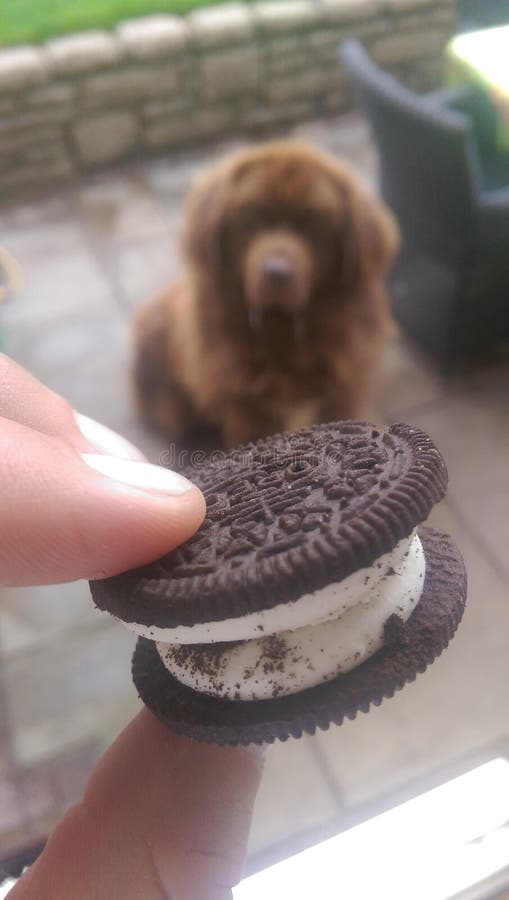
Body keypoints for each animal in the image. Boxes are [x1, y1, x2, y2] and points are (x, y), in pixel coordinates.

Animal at [133, 142, 398, 448]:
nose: (277, 273)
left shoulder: (341, 394)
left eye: (315, 223)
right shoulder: (246, 407)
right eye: (252, 216)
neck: (283, 332)